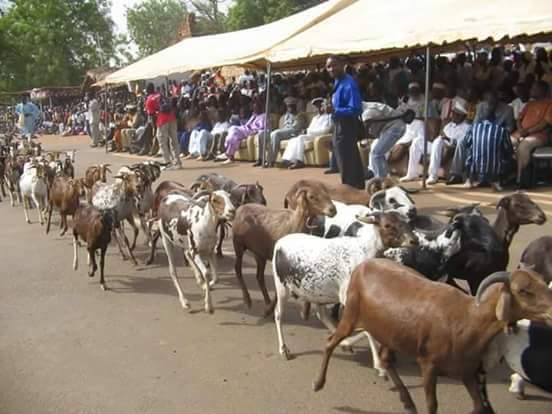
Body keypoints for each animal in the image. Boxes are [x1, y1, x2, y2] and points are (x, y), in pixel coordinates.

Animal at [312, 260, 552, 414]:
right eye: (523, 290)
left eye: (542, 282)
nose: (551, 310)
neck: (467, 318)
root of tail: (363, 266)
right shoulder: (429, 365)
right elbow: (432, 405)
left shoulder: (467, 372)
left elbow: (479, 407)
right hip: (352, 316)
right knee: (331, 342)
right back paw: (318, 383)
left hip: (390, 333)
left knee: (386, 359)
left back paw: (408, 403)